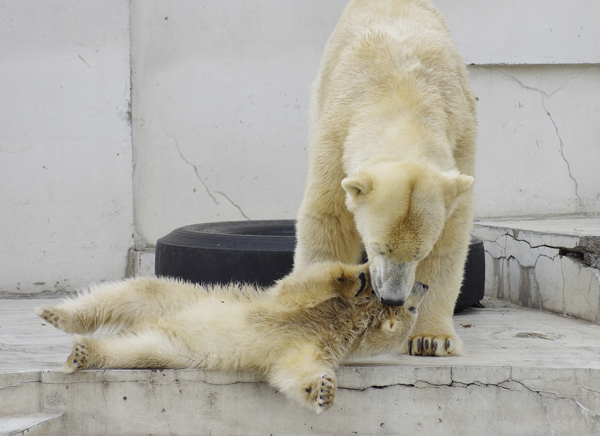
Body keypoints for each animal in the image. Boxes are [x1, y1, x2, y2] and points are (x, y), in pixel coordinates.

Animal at [292, 0, 476, 356]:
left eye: (419, 253)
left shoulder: (460, 139)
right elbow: (329, 219)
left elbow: (450, 239)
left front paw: (431, 338)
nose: (393, 298)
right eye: (378, 247)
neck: (404, 97)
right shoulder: (337, 134)